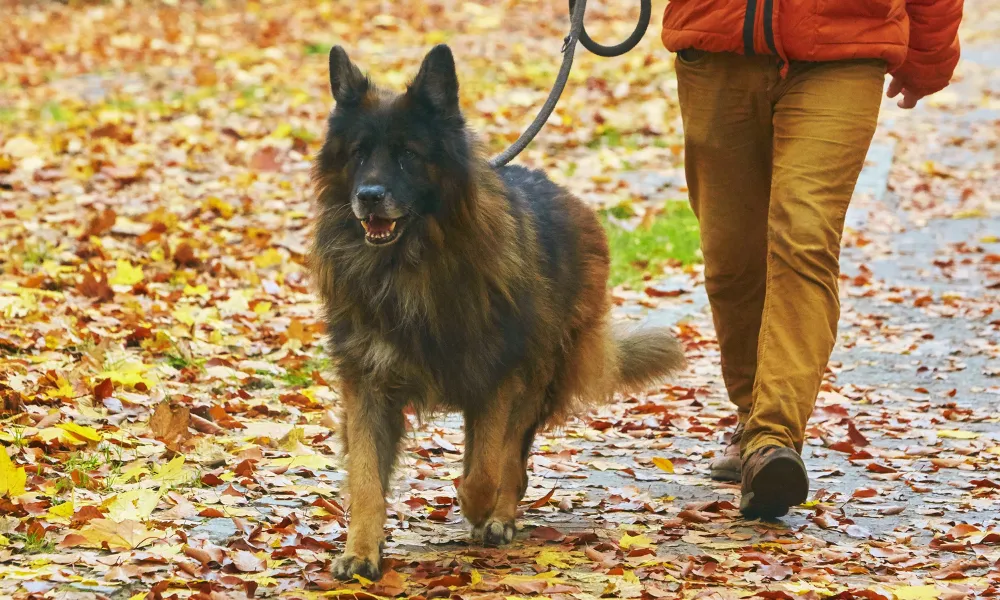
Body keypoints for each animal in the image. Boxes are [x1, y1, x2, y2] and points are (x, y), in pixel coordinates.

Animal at [312, 44, 688, 580]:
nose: (368, 198)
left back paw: (498, 518)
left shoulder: (498, 378)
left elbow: (487, 470)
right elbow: (367, 478)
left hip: (538, 376)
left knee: (512, 459)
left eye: (408, 154)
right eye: (359, 154)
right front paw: (361, 550)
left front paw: (477, 508)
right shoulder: (368, 382)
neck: (412, 267)